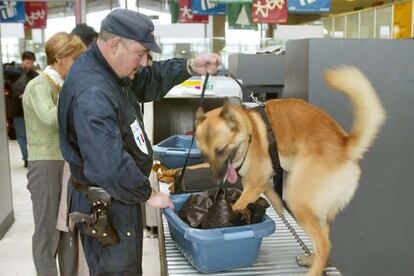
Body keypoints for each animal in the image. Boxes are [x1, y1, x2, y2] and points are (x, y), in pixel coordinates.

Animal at [194, 66, 384, 274]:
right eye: (204, 154)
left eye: (220, 150)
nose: (217, 181)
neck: (248, 132)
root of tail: (344, 145)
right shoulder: (261, 184)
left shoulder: (253, 186)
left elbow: (236, 205)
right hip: (318, 209)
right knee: (324, 241)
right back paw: (311, 260)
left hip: (298, 200)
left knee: (324, 245)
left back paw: (314, 270)